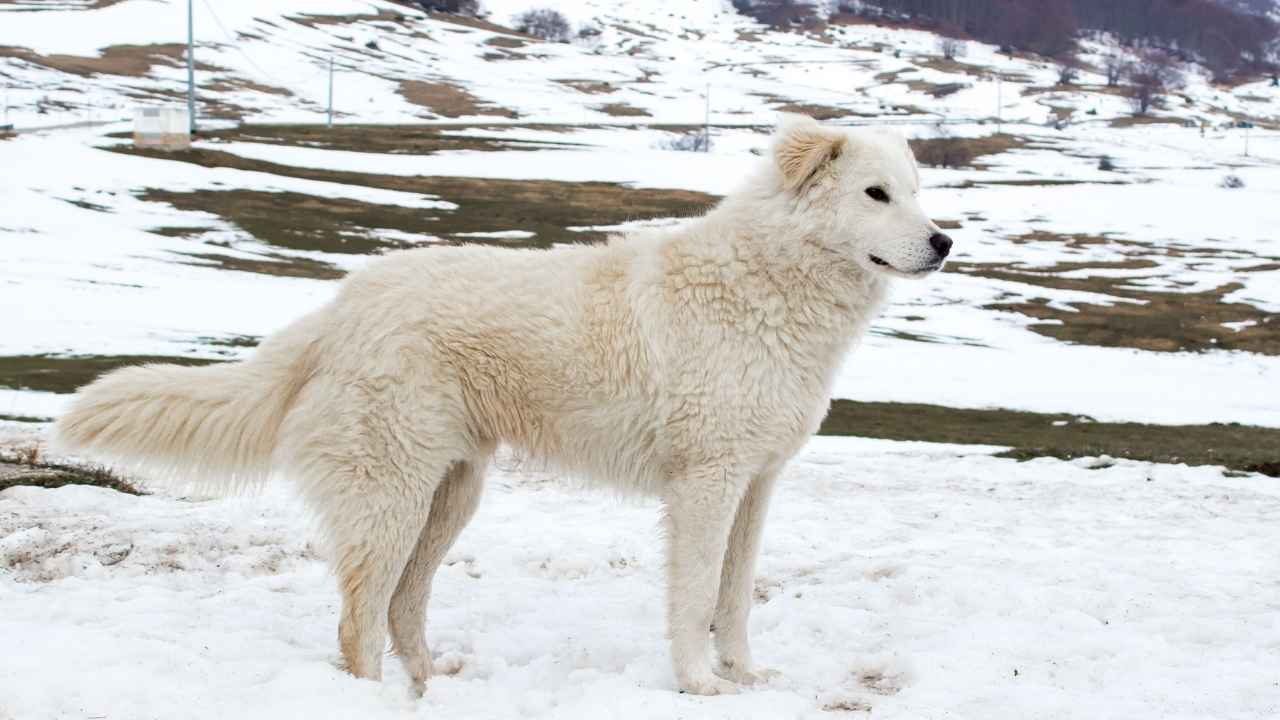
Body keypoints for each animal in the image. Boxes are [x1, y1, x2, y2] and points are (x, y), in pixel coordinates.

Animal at [52, 114, 952, 691]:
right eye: (875, 194)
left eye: (915, 191)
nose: (946, 240)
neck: (770, 283)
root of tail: (339, 308)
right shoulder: (707, 483)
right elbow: (695, 595)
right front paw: (700, 685)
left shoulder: (757, 484)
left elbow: (733, 600)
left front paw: (746, 675)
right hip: (392, 495)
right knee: (359, 619)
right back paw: (371, 700)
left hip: (450, 494)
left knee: (402, 608)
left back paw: (431, 685)